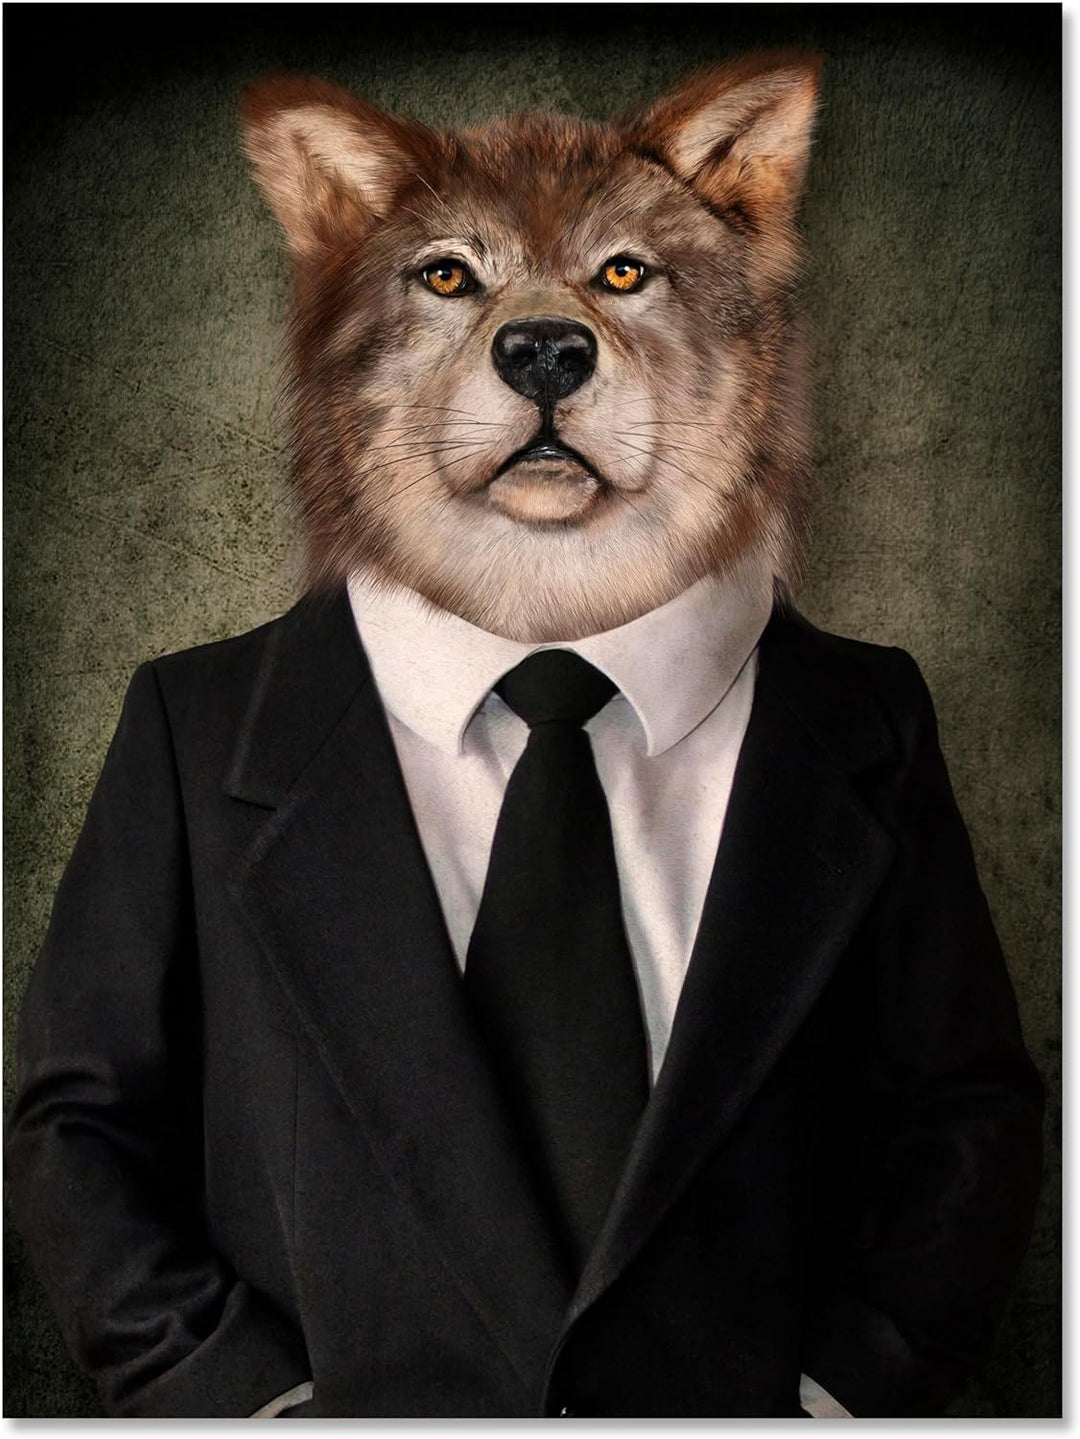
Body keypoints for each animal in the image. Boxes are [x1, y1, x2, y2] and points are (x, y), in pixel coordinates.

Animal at [7, 53, 1042, 1417]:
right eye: (450, 274)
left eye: (623, 272)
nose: (546, 349)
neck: (548, 644)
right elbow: (88, 1099)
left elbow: (958, 1091)